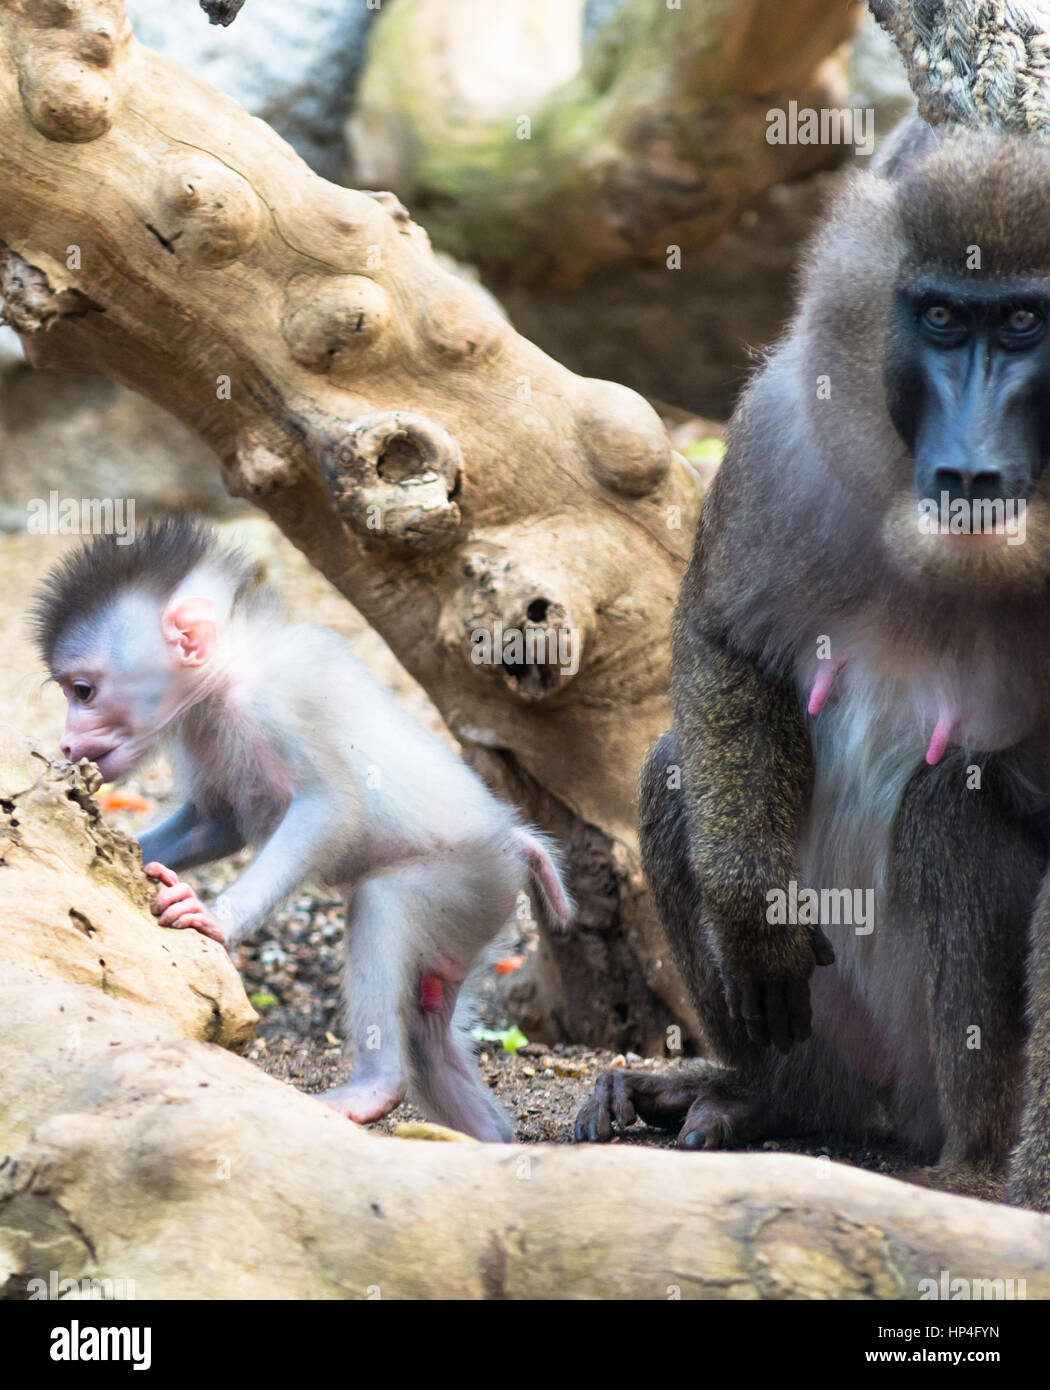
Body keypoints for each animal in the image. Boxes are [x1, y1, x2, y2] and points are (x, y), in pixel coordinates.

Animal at [34, 517, 575, 1145]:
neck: (230, 680)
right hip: (473, 917)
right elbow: (217, 822)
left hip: (468, 878)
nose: (67, 743)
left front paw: (211, 917)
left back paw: (373, 1088)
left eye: (83, 691)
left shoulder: (283, 701)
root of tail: (512, 838)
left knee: (384, 906)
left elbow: (331, 807)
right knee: (429, 1036)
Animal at [578, 119, 1050, 1206]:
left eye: (1024, 324)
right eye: (939, 319)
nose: (969, 469)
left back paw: (970, 1171)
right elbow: (723, 638)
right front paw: (752, 913)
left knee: (956, 808)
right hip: (830, 1026)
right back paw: (753, 1095)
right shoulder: (780, 436)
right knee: (674, 770)